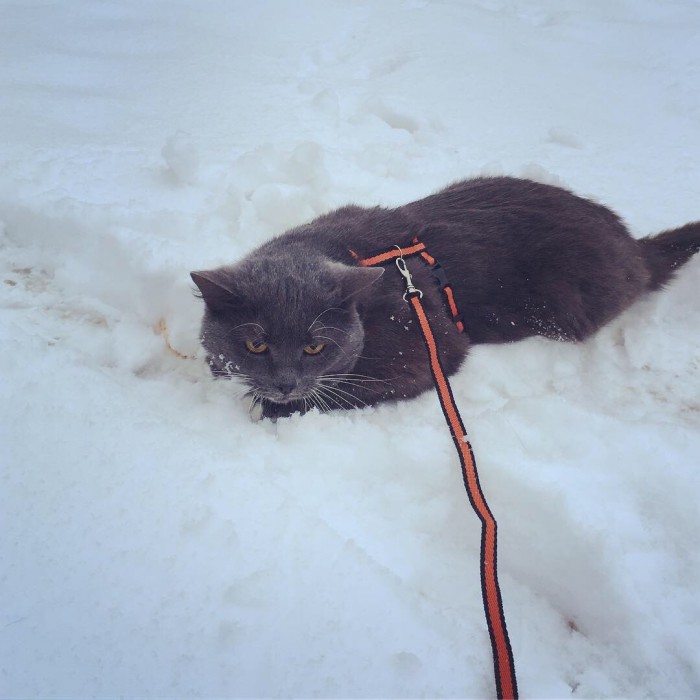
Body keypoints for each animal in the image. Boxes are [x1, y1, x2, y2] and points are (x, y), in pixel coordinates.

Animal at [191, 175, 700, 418]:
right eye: (255, 344)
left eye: (315, 346)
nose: (285, 383)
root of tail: (632, 245)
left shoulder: (427, 347)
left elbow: (346, 388)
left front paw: (273, 406)